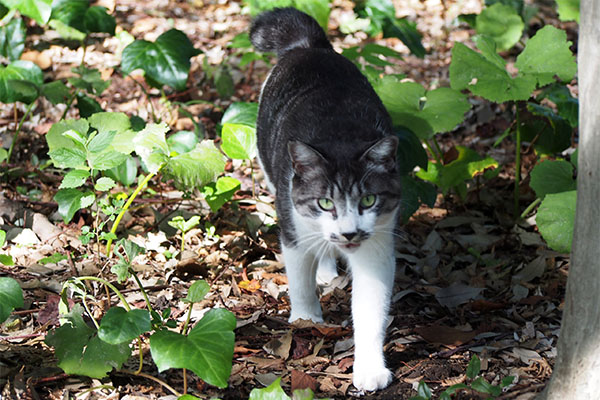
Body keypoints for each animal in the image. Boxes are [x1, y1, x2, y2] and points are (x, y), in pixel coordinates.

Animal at [248, 7, 404, 392]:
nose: (348, 232)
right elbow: (299, 277)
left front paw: (369, 366)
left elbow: (370, 307)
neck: (339, 135)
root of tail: (309, 46)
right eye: (325, 203)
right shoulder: (293, 223)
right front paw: (306, 316)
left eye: (368, 200)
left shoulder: (378, 241)